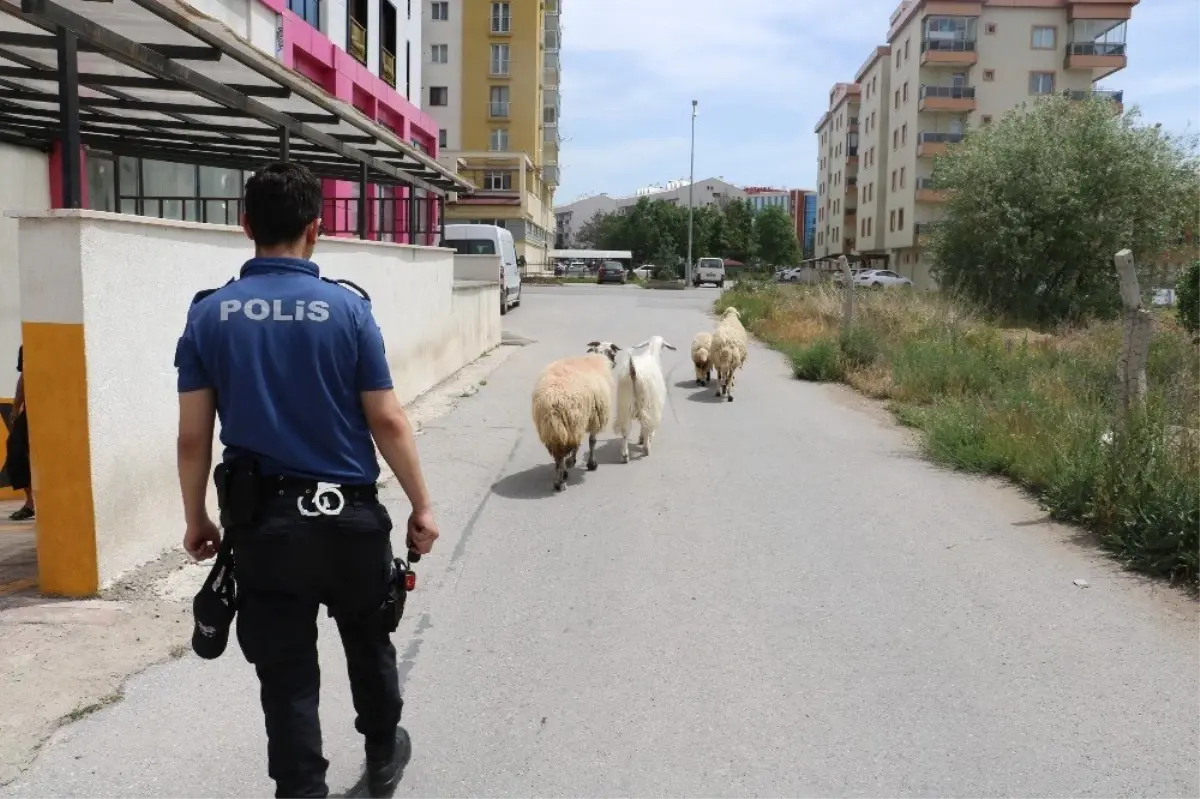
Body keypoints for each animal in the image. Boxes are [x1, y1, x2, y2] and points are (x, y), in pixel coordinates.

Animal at [530, 338, 619, 489]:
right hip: (572, 422)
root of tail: (552, 399)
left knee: (559, 452)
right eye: (613, 354)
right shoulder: (595, 416)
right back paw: (560, 481)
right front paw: (590, 464)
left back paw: (560, 474)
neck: (597, 359)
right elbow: (592, 441)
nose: (615, 363)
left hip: (553, 428)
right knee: (564, 452)